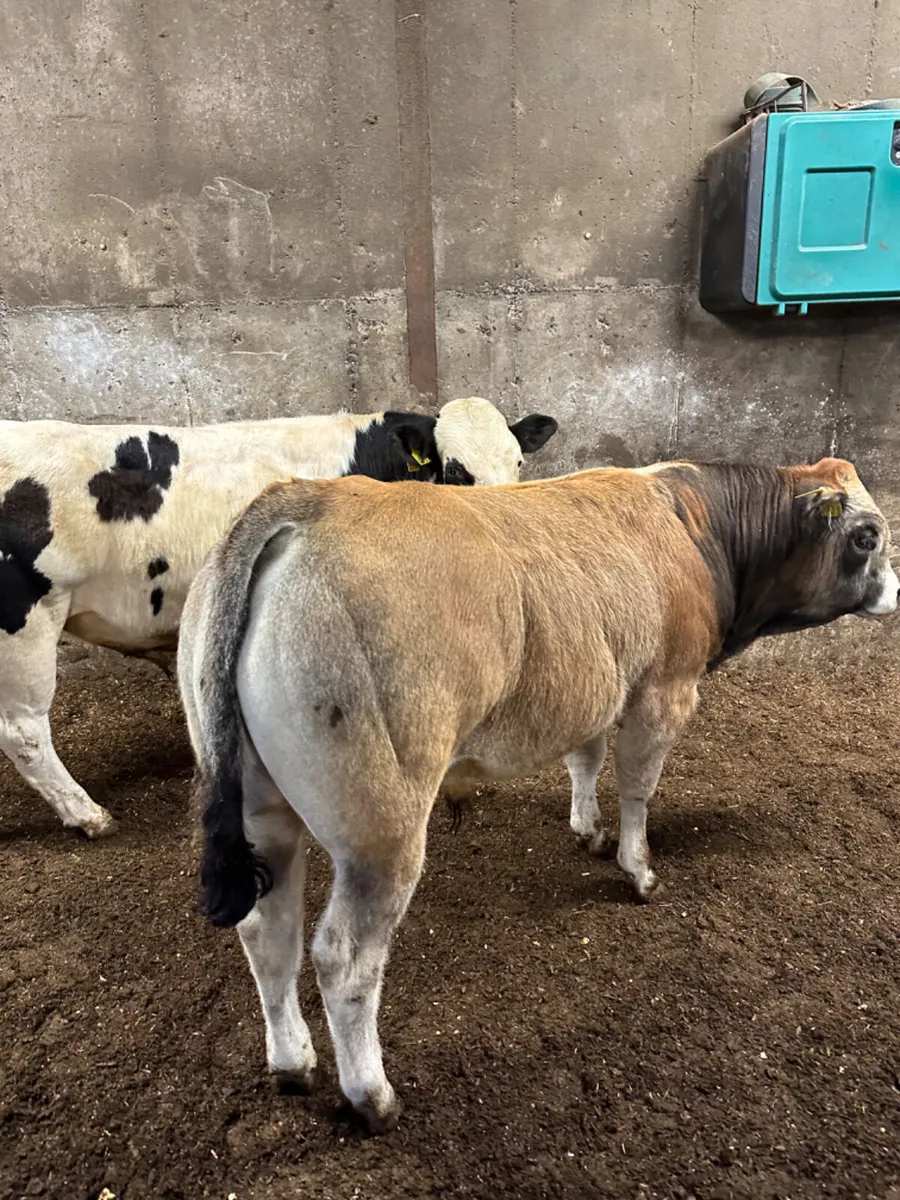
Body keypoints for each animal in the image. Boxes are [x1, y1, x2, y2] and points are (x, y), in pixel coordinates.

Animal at [179, 454, 897, 1132]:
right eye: (868, 536)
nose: (895, 591)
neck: (696, 521)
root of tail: (309, 500)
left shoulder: (599, 684)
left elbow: (587, 756)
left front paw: (588, 829)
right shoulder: (665, 687)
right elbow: (638, 785)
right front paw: (638, 869)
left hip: (261, 810)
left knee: (267, 931)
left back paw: (292, 1063)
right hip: (380, 826)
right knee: (343, 958)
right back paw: (373, 1097)